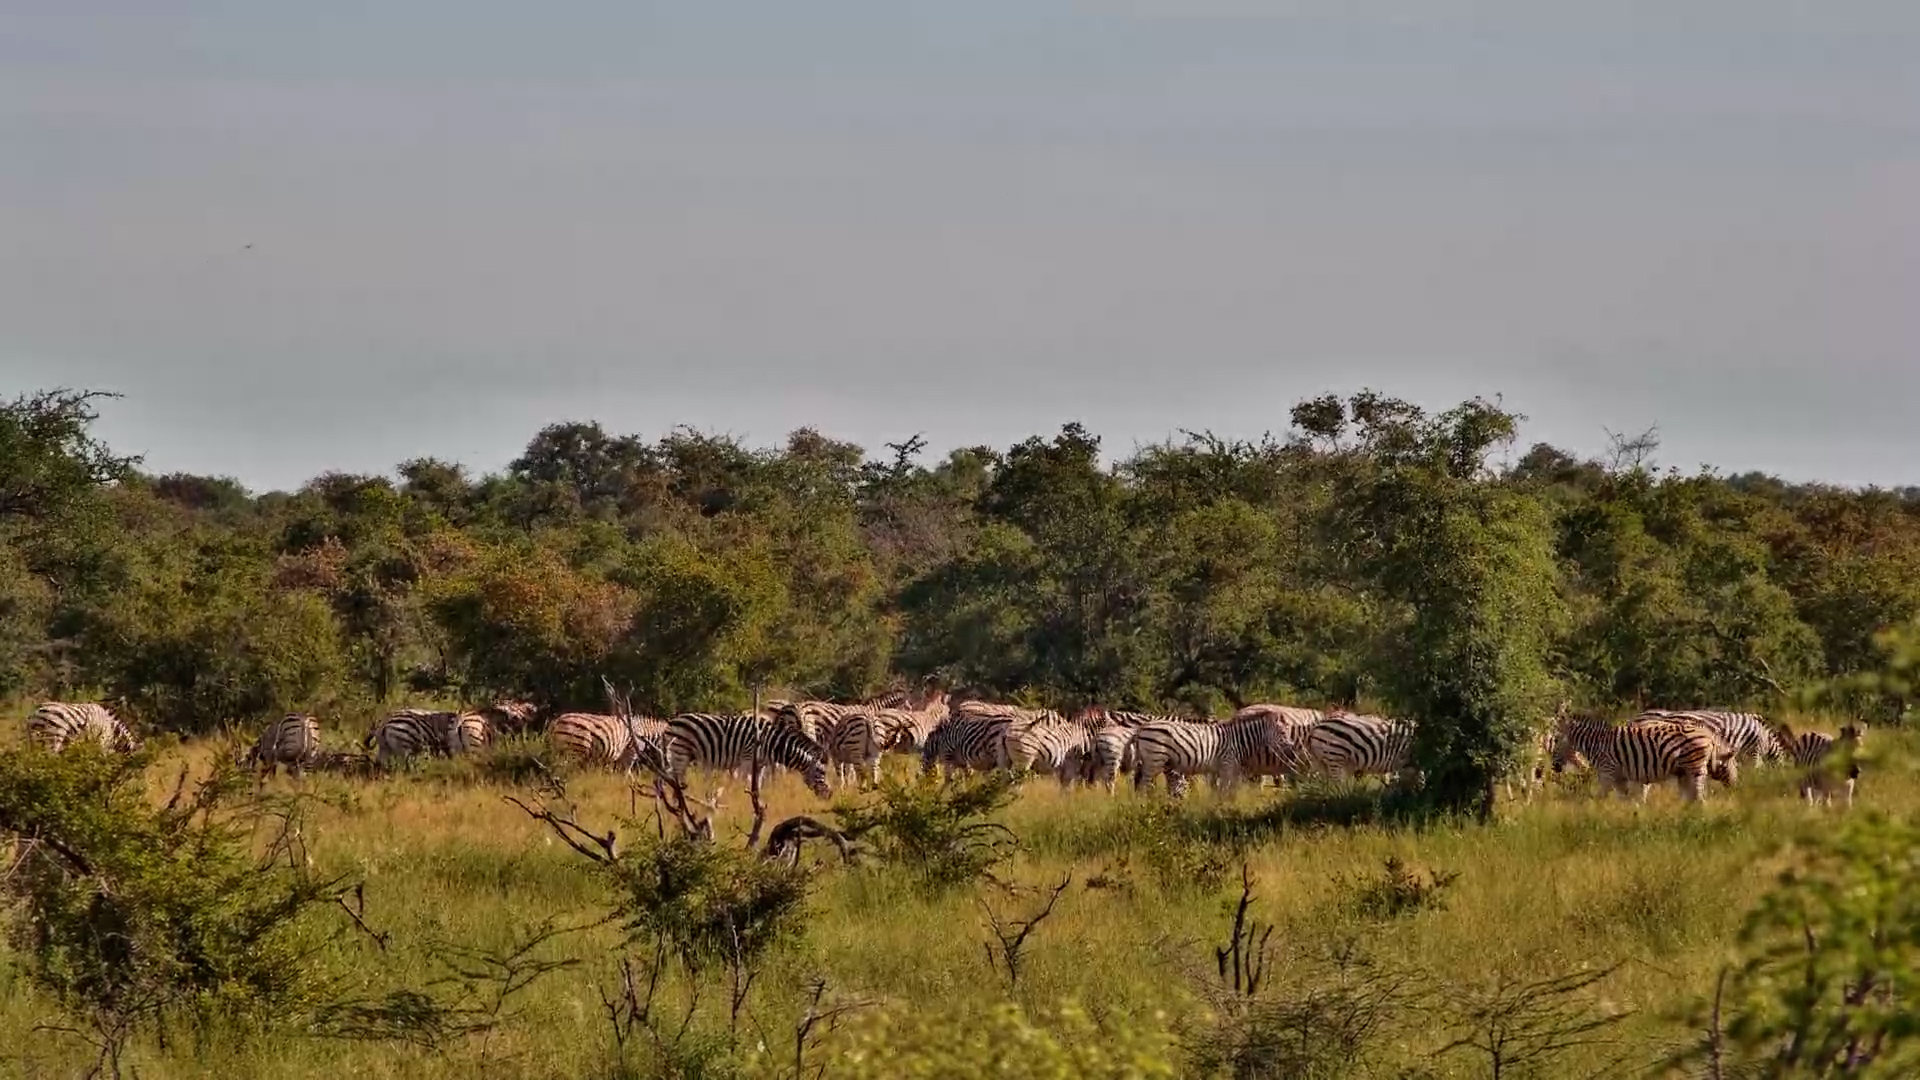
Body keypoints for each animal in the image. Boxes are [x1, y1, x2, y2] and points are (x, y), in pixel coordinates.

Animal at [662, 713, 832, 798]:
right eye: (821, 772)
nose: (830, 795)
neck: (771, 743)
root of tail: (672, 721)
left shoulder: (761, 765)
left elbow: (758, 786)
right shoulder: (747, 759)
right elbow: (741, 783)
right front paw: (738, 801)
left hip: (682, 755)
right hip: (680, 753)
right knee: (673, 779)